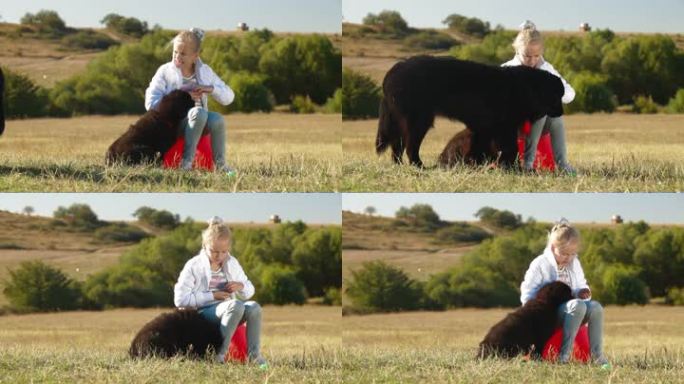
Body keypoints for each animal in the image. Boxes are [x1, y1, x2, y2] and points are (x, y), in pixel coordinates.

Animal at [376, 55, 564, 166]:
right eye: (556, 97)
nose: (562, 112)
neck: (525, 87)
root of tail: (392, 73)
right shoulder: (504, 127)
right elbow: (510, 148)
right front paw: (511, 167)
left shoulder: (492, 129)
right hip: (418, 121)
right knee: (410, 147)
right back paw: (419, 166)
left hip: (402, 121)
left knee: (397, 145)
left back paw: (399, 165)